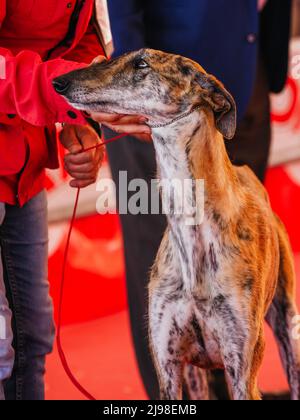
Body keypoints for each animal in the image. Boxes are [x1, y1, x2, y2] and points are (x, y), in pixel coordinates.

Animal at [54, 49, 300, 400]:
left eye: (141, 64)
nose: (58, 82)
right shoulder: (168, 366)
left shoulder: (242, 368)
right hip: (195, 372)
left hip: (286, 327)